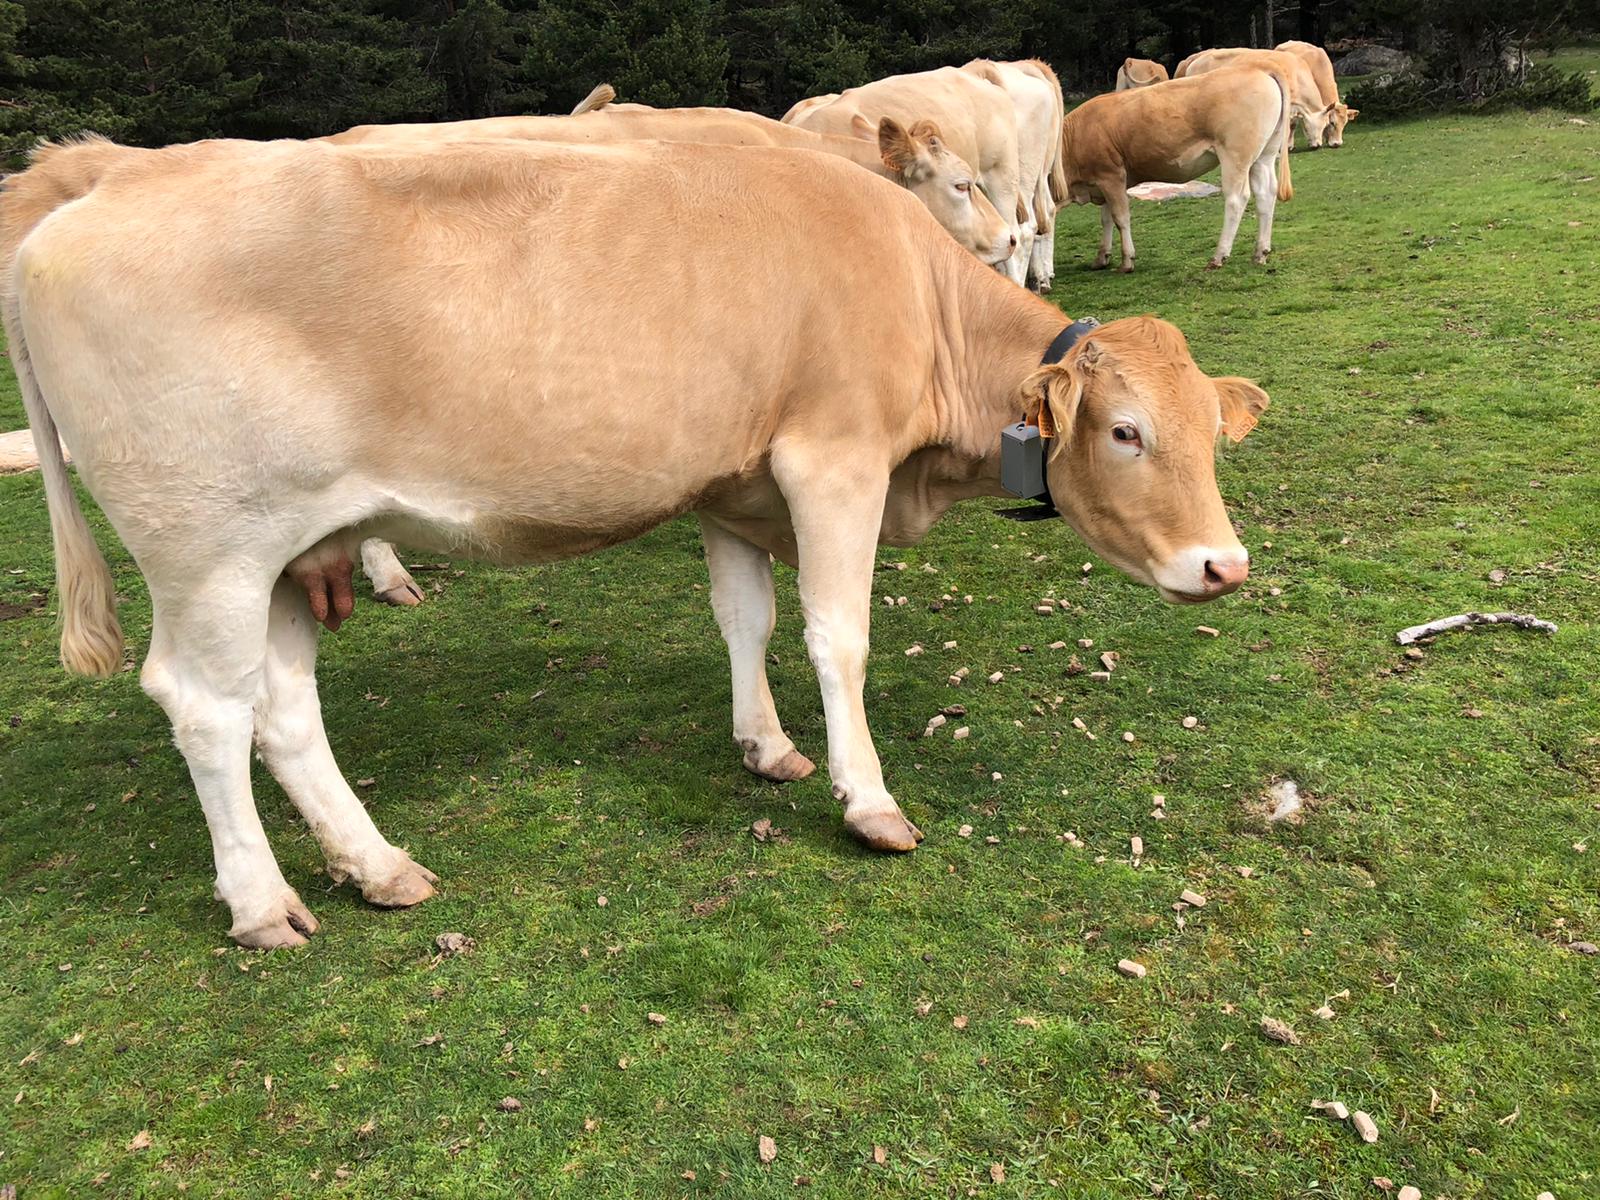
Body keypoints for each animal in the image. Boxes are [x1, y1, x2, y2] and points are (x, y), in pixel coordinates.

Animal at [4, 134, 1269, 947]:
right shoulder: (832, 460)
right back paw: (263, 905)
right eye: (1125, 431)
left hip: (287, 549)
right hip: (205, 552)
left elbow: (745, 618)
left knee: (282, 709)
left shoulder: (731, 480)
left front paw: (766, 747)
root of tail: (82, 201)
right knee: (205, 710)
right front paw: (866, 800)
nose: (1225, 566)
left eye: (1213, 434)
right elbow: (837, 637)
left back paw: (377, 866)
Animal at [1061, 65, 1294, 272]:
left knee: (1237, 198)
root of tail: (1261, 70)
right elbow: (1106, 219)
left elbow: (1120, 217)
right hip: (1264, 155)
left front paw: (1127, 261)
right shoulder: (1101, 182)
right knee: (1266, 194)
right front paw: (1102, 258)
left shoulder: (1111, 176)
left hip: (1235, 154)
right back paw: (1261, 252)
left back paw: (1218, 257)